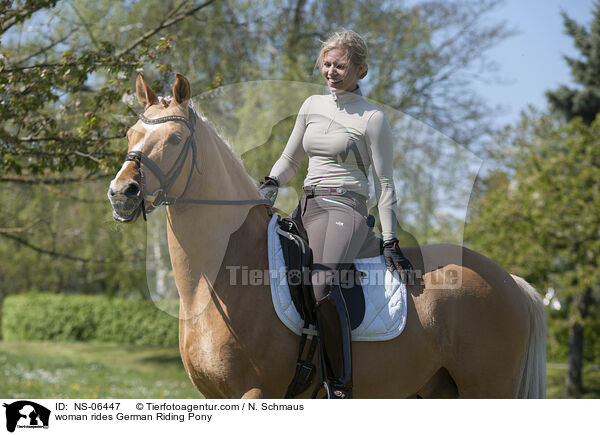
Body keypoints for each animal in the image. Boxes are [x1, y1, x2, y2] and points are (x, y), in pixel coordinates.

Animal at [105, 73, 548, 400]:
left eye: (175, 140)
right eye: (129, 135)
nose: (122, 192)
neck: (217, 277)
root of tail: (510, 281)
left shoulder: (254, 392)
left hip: (487, 389)